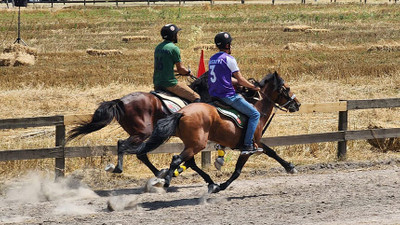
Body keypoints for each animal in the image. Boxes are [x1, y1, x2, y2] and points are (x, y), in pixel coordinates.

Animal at [128, 71, 300, 192]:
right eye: (287, 88)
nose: (297, 104)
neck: (256, 108)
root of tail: (182, 112)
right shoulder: (249, 147)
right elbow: (237, 171)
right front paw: (222, 185)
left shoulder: (257, 142)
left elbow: (271, 152)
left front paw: (289, 167)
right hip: (197, 144)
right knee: (177, 159)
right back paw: (168, 180)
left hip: (191, 143)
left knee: (188, 161)